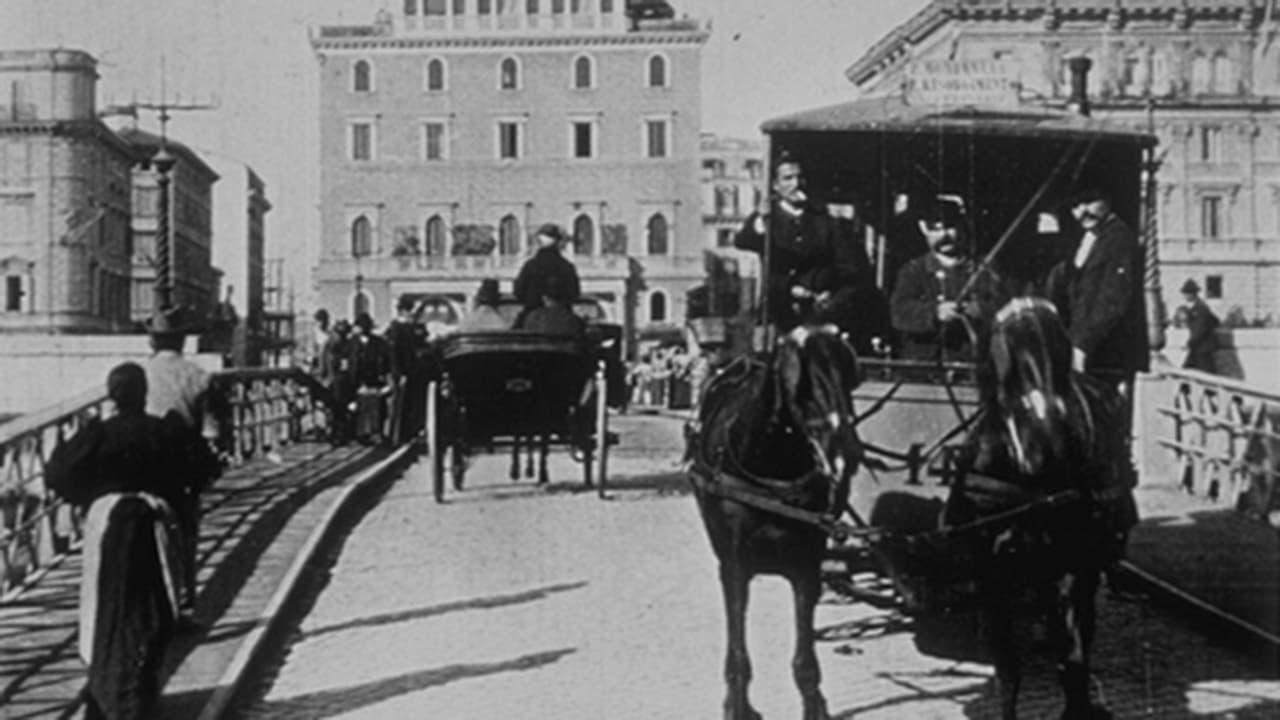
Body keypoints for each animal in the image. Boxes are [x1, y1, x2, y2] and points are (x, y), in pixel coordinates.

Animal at [691, 326, 860, 717]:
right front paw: (737, 706)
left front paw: (815, 706)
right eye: (802, 383)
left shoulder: (807, 566)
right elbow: (738, 654)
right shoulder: (734, 567)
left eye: (848, 376)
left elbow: (806, 662)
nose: (845, 457)